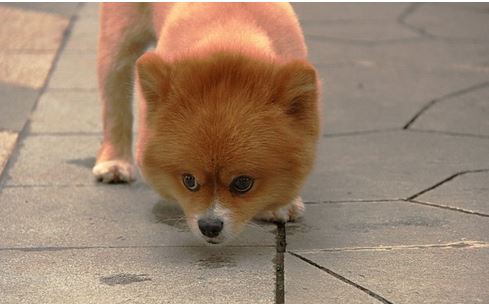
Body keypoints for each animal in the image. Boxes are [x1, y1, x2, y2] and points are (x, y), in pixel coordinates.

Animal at [91, 2, 320, 245]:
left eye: (243, 183)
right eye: (189, 181)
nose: (210, 226)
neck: (230, 39)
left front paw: (282, 204)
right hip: (117, 44)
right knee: (115, 107)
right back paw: (114, 162)